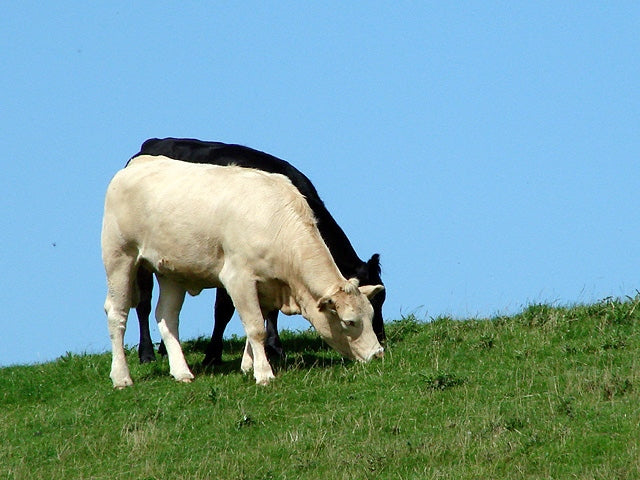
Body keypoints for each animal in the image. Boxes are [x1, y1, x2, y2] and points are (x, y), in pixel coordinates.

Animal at [100, 156, 384, 388]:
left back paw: (181, 372)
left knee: (167, 317)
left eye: (370, 314)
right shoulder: (238, 278)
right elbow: (256, 326)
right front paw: (264, 374)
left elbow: (256, 322)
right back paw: (122, 376)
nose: (378, 354)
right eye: (350, 321)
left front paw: (248, 366)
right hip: (119, 256)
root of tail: (139, 163)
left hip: (171, 271)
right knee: (118, 313)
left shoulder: (267, 285)